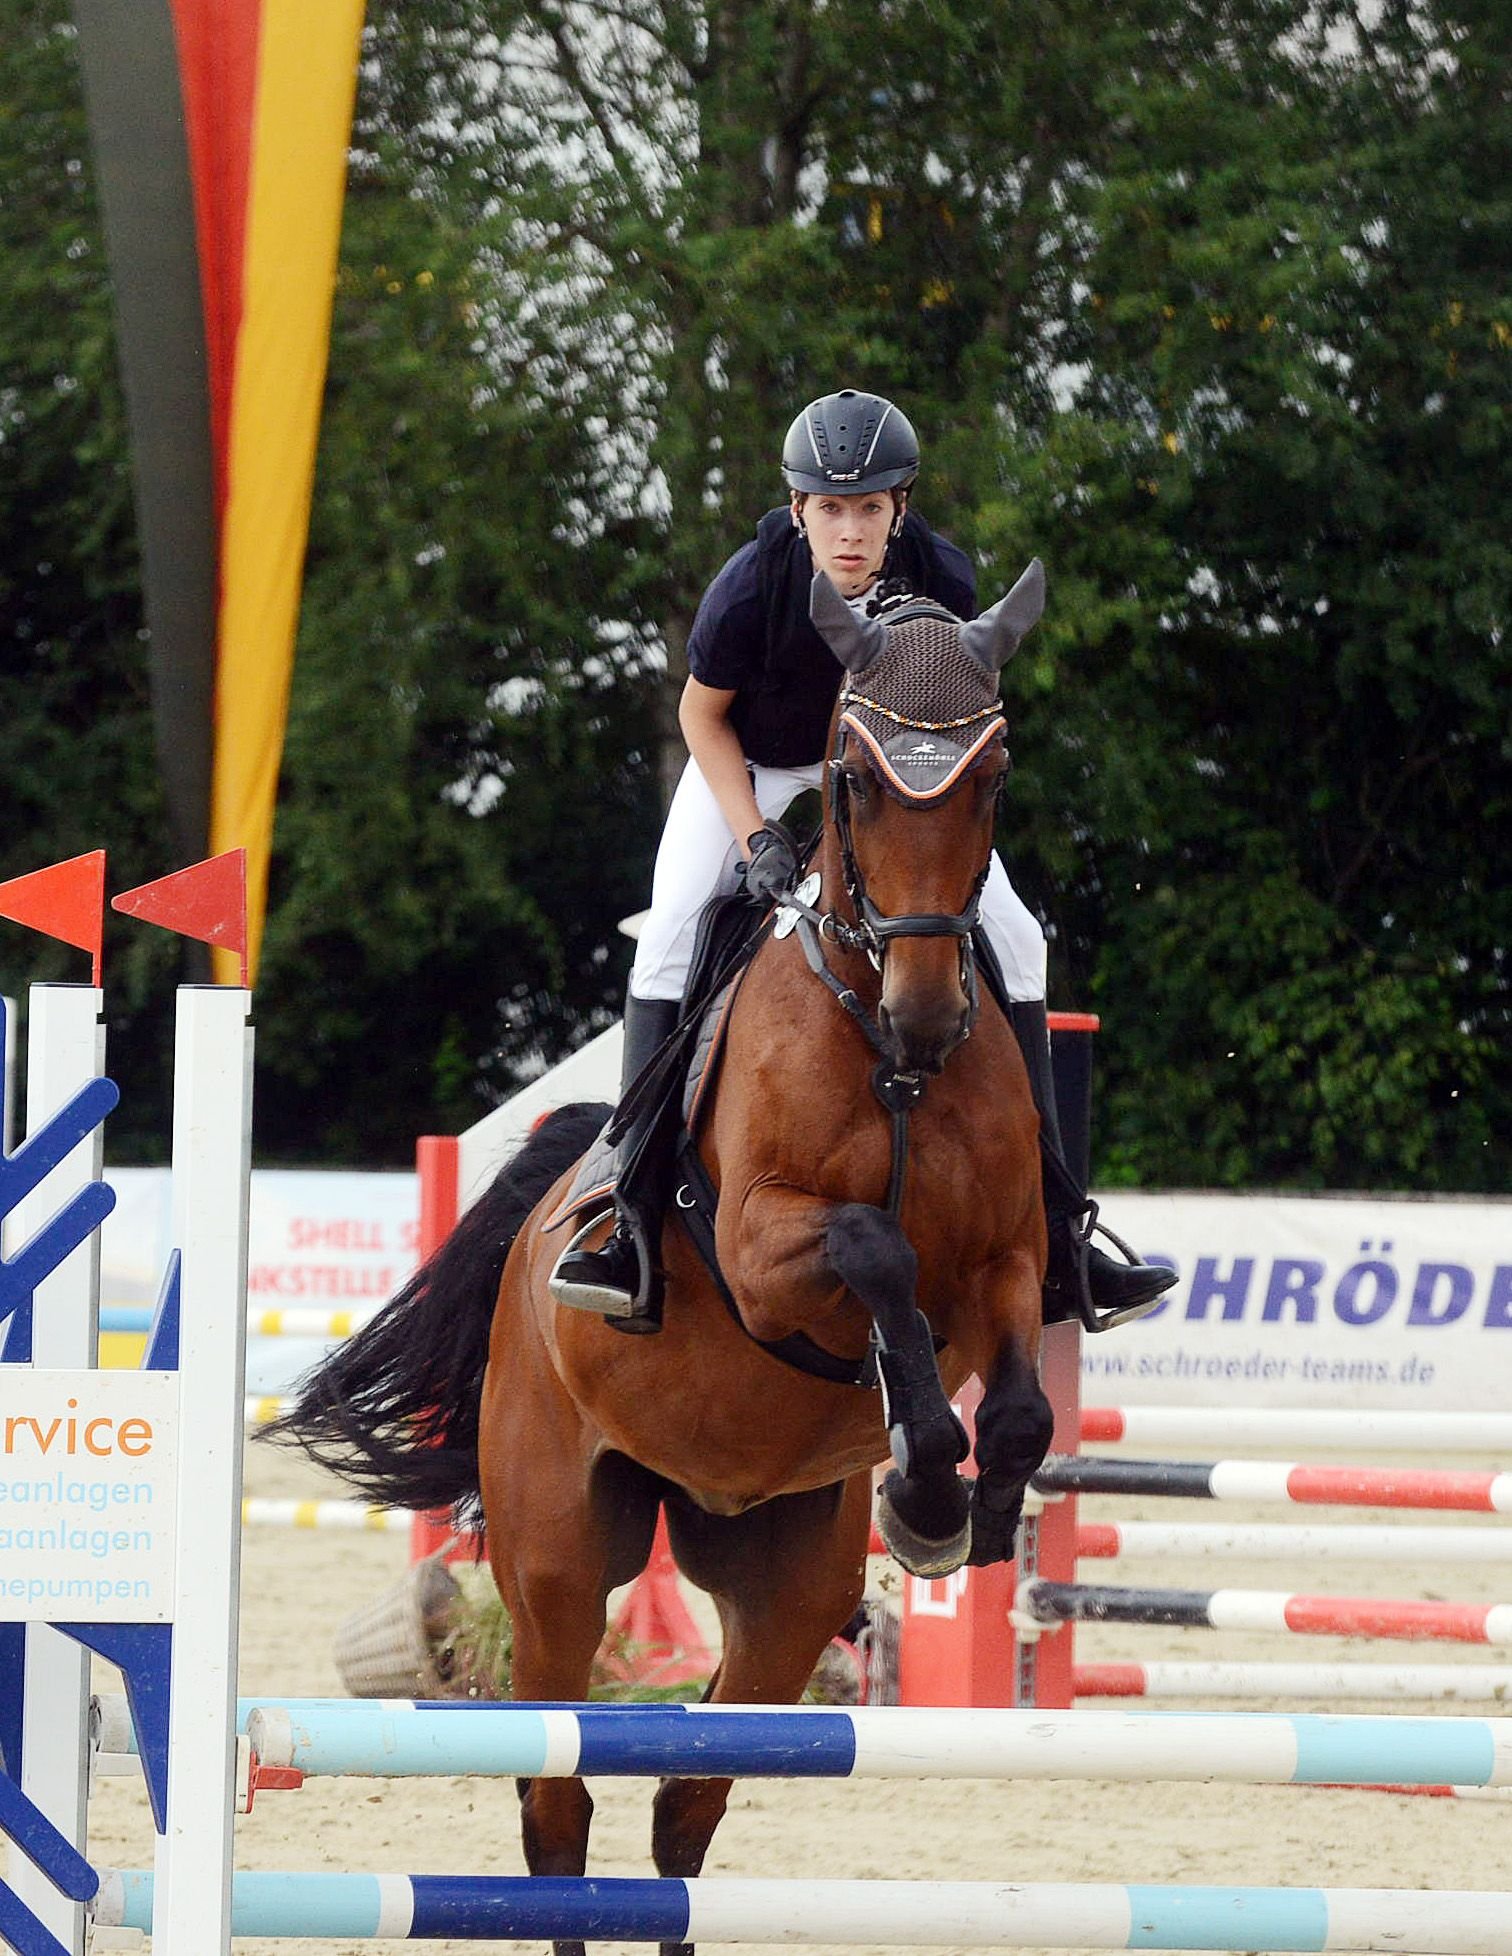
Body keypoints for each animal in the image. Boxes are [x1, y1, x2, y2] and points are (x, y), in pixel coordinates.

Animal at [271, 563, 1048, 1940]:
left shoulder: (1008, 1260)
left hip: (783, 1588)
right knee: (556, 1798)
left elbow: (1015, 1405)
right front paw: (925, 1488)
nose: (926, 1014)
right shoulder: (762, 1249)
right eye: (855, 779)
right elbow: (876, 1251)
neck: (884, 1052)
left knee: (686, 1801)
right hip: (558, 1566)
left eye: (992, 777)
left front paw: (955, 1515)